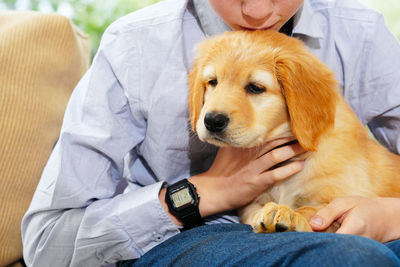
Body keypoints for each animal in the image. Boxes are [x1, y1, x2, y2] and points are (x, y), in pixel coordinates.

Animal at [189, 30, 400, 233]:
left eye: (255, 88)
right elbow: (254, 212)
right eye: (213, 82)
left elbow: (314, 209)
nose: (212, 121)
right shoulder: (252, 203)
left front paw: (290, 214)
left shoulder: (344, 195)